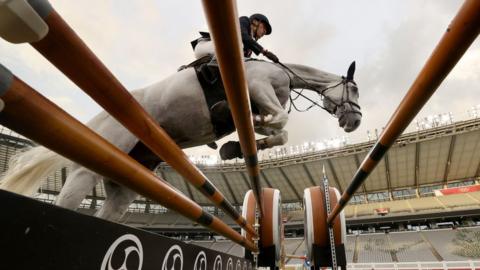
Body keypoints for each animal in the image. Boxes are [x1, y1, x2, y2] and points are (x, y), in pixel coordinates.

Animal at [0, 44, 360, 221]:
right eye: (354, 89)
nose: (354, 121)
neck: (283, 74)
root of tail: (97, 120)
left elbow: (280, 132)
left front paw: (235, 146)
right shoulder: (258, 87)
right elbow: (280, 122)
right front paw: (239, 137)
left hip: (124, 186)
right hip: (88, 167)